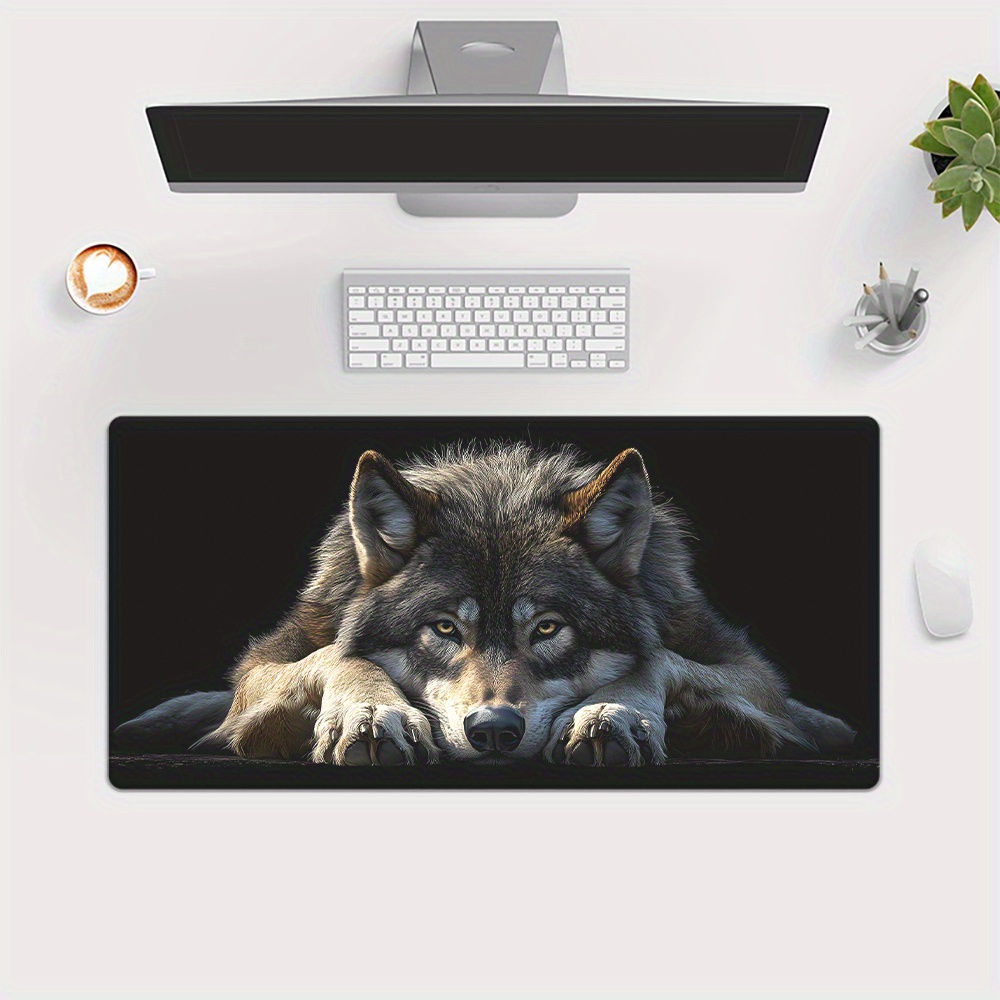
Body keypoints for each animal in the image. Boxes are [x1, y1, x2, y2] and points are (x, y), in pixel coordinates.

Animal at [114, 442, 856, 766]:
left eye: (549, 629)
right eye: (444, 627)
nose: (494, 731)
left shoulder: (746, 670)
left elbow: (655, 660)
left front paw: (611, 715)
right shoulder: (268, 663)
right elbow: (339, 655)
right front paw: (371, 715)